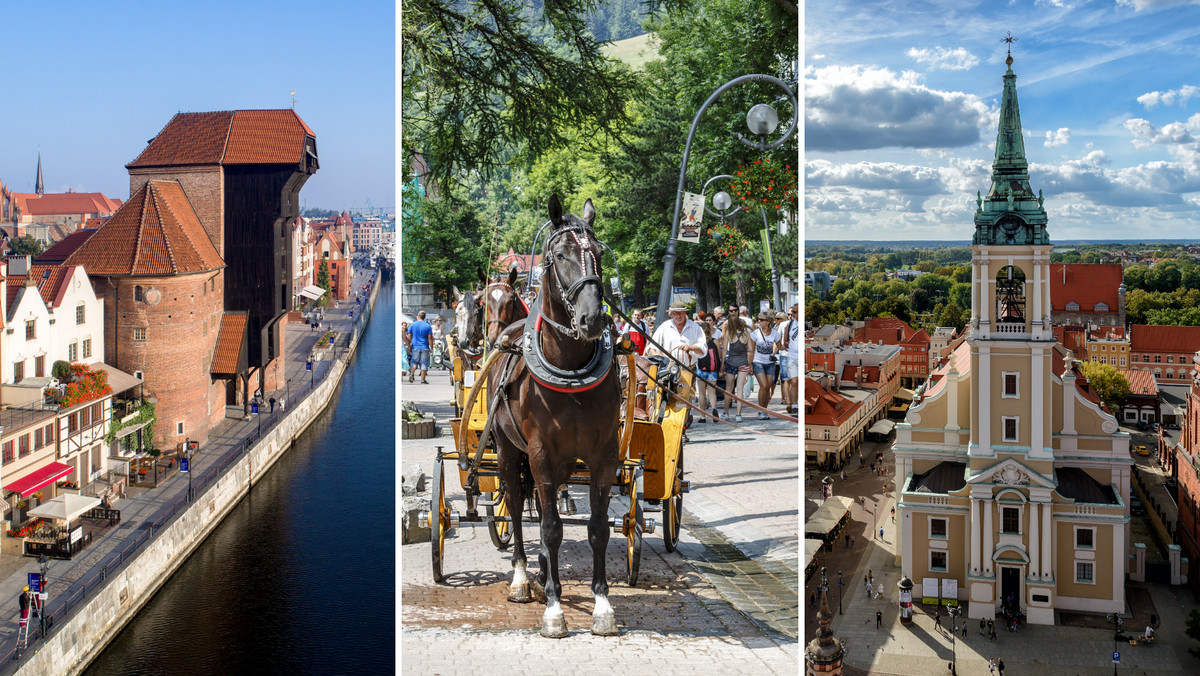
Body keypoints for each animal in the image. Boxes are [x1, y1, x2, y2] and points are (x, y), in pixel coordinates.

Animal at [484, 195, 619, 638]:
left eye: (598, 254)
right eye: (560, 256)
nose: (593, 318)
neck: (570, 368)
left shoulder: (603, 456)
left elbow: (597, 528)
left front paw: (602, 605)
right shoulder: (540, 452)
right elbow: (550, 527)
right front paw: (555, 610)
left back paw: (544, 571)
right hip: (509, 452)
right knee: (514, 502)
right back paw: (524, 578)